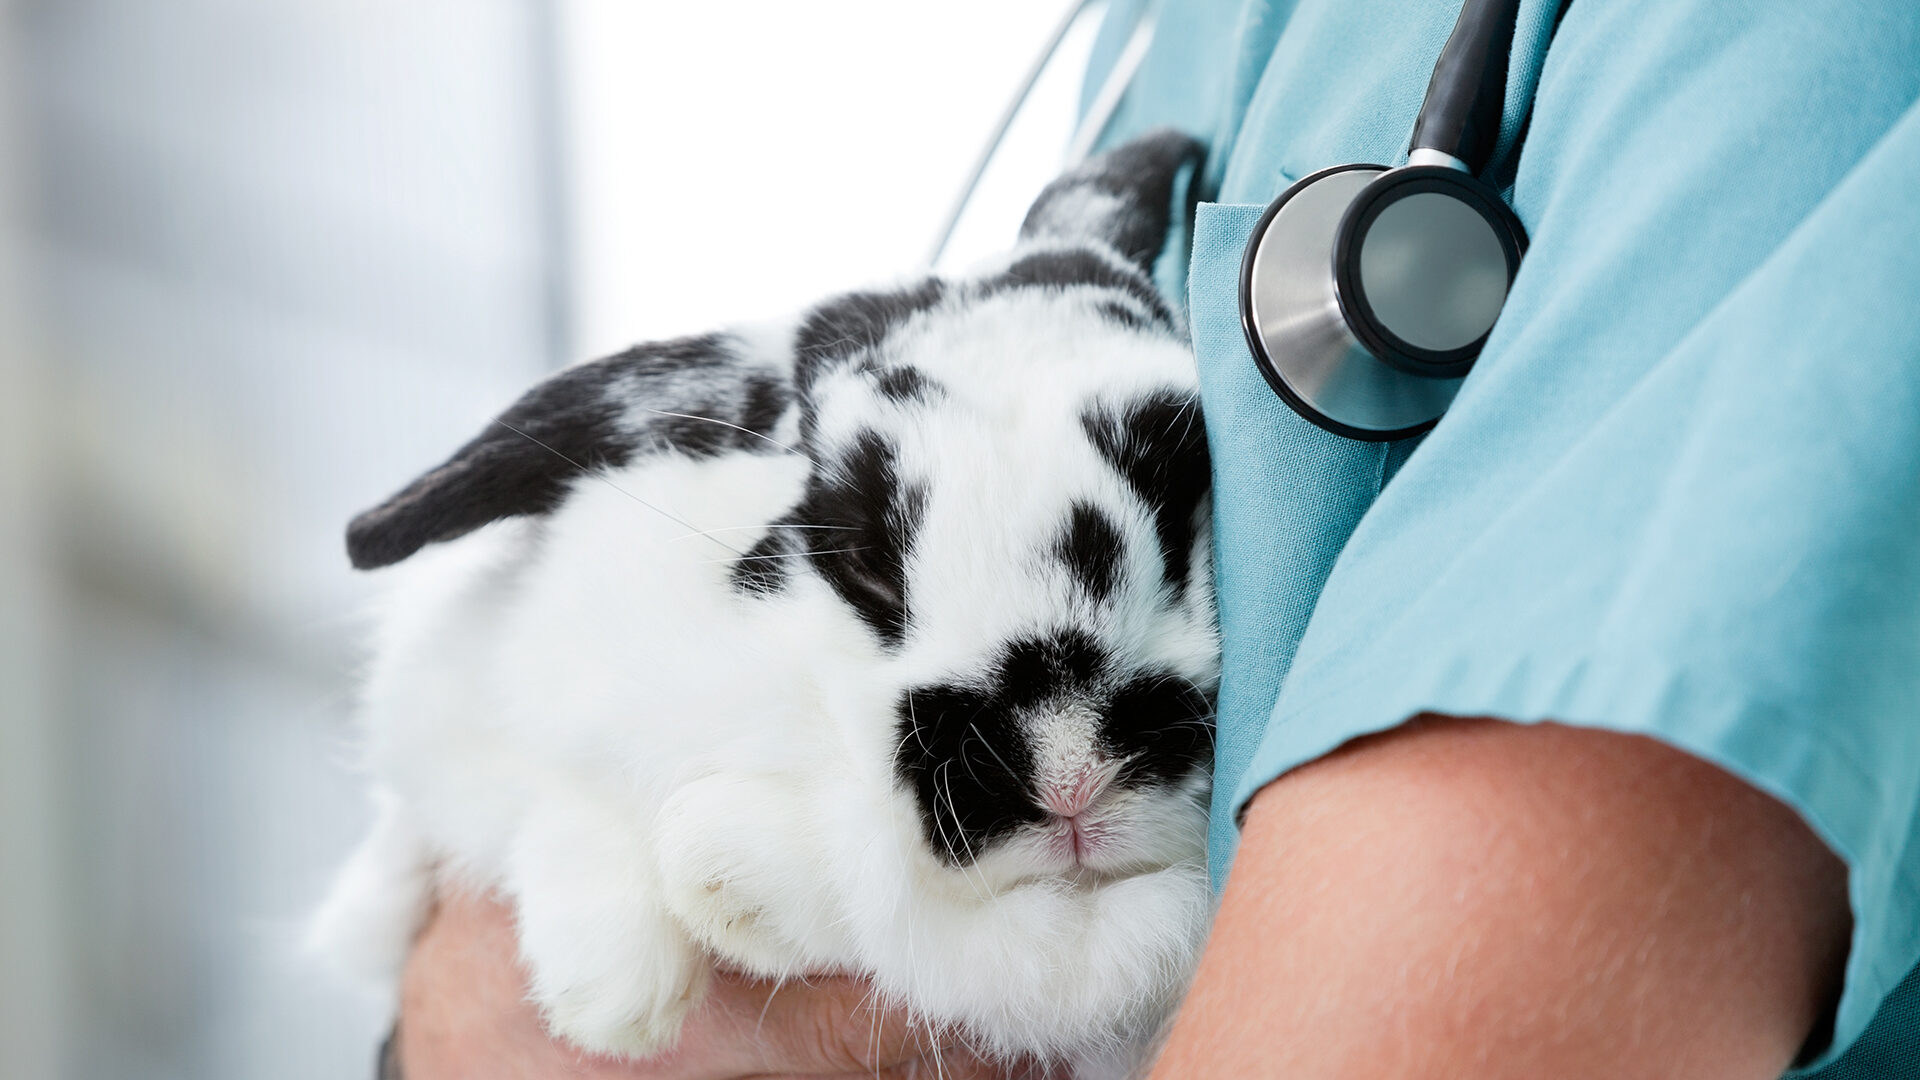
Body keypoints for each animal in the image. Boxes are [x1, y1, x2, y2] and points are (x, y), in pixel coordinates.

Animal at [312, 127, 1213, 1068]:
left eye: (1186, 499)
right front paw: (614, 995)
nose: (1069, 772)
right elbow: (543, 788)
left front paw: (728, 880)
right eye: (862, 558)